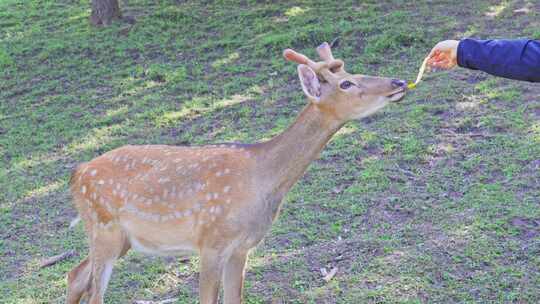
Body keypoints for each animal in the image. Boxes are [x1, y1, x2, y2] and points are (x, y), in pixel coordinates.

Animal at [66, 42, 404, 304]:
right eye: (346, 84)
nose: (399, 82)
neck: (263, 181)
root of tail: (77, 173)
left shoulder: (242, 247)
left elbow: (234, 298)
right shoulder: (211, 241)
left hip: (119, 237)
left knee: (75, 274)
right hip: (103, 227)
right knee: (92, 290)